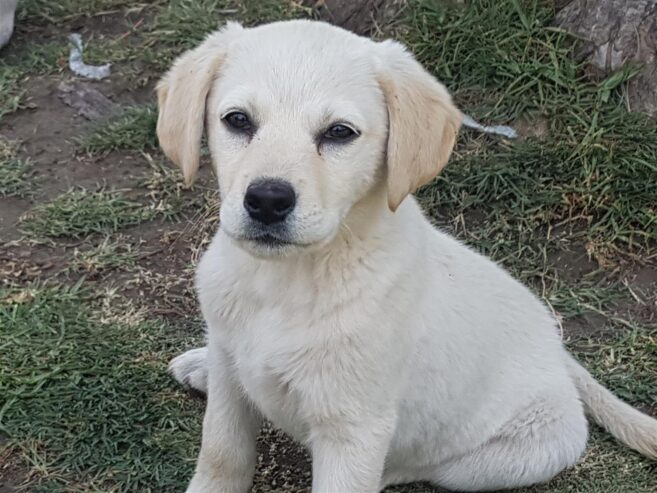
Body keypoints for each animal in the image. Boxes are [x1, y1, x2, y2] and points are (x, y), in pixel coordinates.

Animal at [159, 19, 656, 492]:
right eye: (237, 120)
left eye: (339, 133)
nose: (266, 200)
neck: (286, 280)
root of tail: (559, 352)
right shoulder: (230, 384)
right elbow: (221, 453)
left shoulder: (355, 429)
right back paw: (200, 365)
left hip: (517, 453)